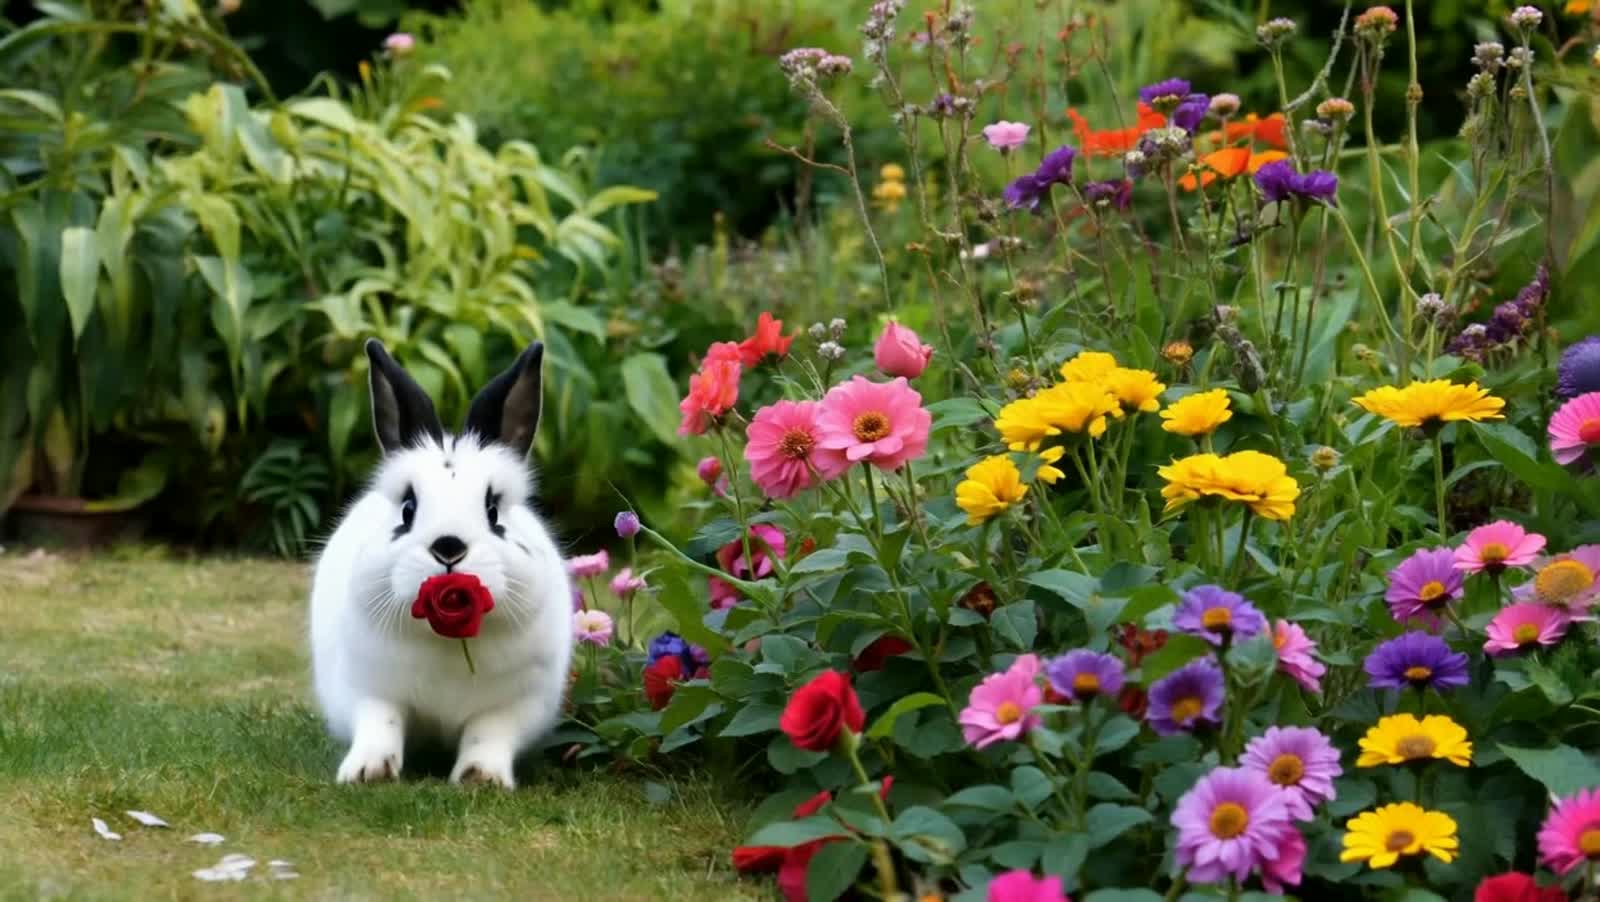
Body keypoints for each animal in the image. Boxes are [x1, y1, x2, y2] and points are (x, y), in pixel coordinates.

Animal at [309, 338, 573, 789]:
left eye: (492, 510)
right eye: (408, 509)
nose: (448, 546)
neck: (447, 639)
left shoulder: (516, 703)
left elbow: (488, 734)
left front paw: (481, 778)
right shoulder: (368, 688)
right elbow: (380, 723)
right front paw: (367, 771)